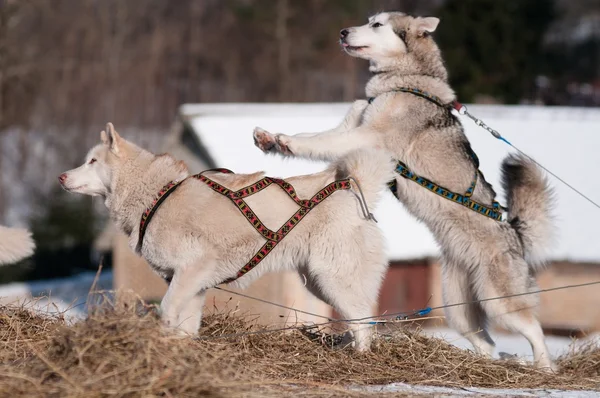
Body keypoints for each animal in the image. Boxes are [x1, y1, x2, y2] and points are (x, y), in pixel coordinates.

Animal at [59, 123, 394, 348]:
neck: (157, 196)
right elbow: (186, 325)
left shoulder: (191, 270)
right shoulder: (191, 284)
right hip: (317, 280)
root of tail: (352, 187)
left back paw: (360, 356)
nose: (61, 177)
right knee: (359, 319)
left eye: (92, 161)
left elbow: (166, 311)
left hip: (334, 278)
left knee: (364, 322)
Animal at [251, 10, 556, 370]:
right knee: (486, 342)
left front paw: (287, 141)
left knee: (535, 331)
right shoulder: (351, 126)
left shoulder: (367, 136)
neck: (402, 79)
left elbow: (317, 143)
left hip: (500, 303)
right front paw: (271, 139)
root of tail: (515, 236)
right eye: (368, 20)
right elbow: (316, 137)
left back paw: (545, 368)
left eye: (377, 24)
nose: (343, 32)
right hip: (458, 307)